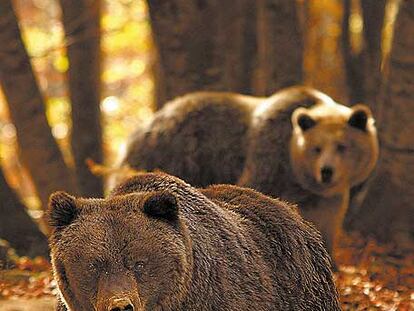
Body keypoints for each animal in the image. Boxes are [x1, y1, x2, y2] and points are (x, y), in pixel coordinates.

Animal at [118, 87, 380, 264]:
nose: (327, 171)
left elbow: (327, 221)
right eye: (316, 147)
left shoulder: (326, 197)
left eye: (342, 146)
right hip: (175, 154)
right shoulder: (267, 159)